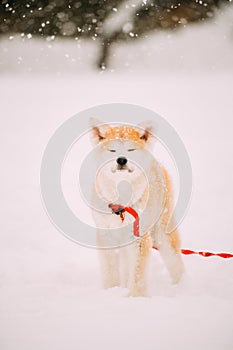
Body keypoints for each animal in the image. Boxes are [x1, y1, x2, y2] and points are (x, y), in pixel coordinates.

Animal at [90, 119, 185, 296]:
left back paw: (183, 286)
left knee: (176, 263)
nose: (121, 160)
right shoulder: (105, 235)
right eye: (112, 150)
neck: (122, 203)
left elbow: (138, 273)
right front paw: (111, 291)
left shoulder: (140, 238)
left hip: (162, 235)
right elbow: (110, 270)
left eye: (131, 150)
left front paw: (136, 297)